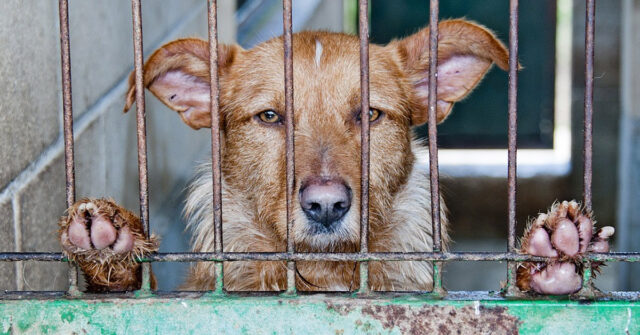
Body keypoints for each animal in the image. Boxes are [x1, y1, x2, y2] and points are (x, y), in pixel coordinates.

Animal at [58, 19, 608, 296]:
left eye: (369, 114)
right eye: (270, 117)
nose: (326, 206)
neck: (325, 275)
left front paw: (548, 262)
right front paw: (112, 252)